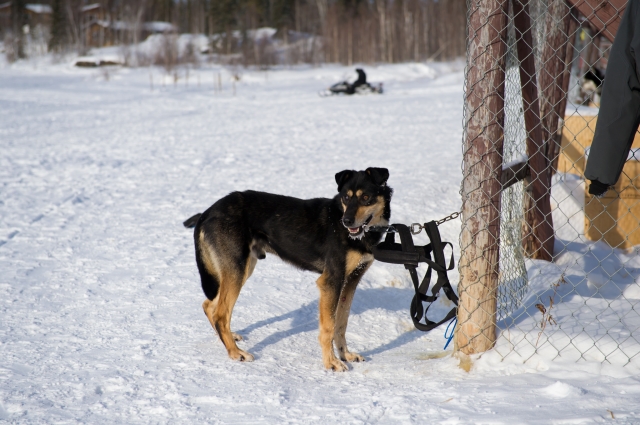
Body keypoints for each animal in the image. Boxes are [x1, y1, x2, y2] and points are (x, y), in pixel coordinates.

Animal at [182, 167, 392, 370]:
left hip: (243, 268)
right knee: (220, 314)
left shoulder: (350, 281)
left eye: (366, 197)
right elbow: (329, 328)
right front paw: (331, 363)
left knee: (209, 305)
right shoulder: (331, 281)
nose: (346, 221)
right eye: (346, 197)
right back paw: (235, 353)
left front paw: (346, 355)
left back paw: (228, 339)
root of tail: (208, 212)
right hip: (236, 270)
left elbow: (341, 323)